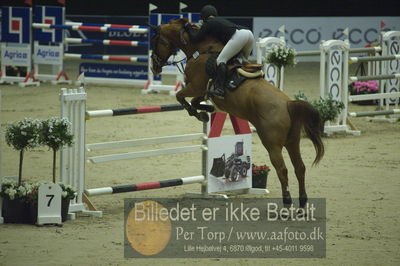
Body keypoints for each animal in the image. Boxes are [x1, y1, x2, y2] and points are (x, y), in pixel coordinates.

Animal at [148, 18, 324, 209]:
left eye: (155, 41)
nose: (154, 67)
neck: (200, 49)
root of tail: (288, 104)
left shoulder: (196, 87)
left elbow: (181, 96)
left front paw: (200, 114)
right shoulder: (203, 91)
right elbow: (195, 101)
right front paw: (207, 111)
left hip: (272, 143)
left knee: (282, 170)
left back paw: (287, 203)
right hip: (292, 141)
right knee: (299, 167)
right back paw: (302, 202)